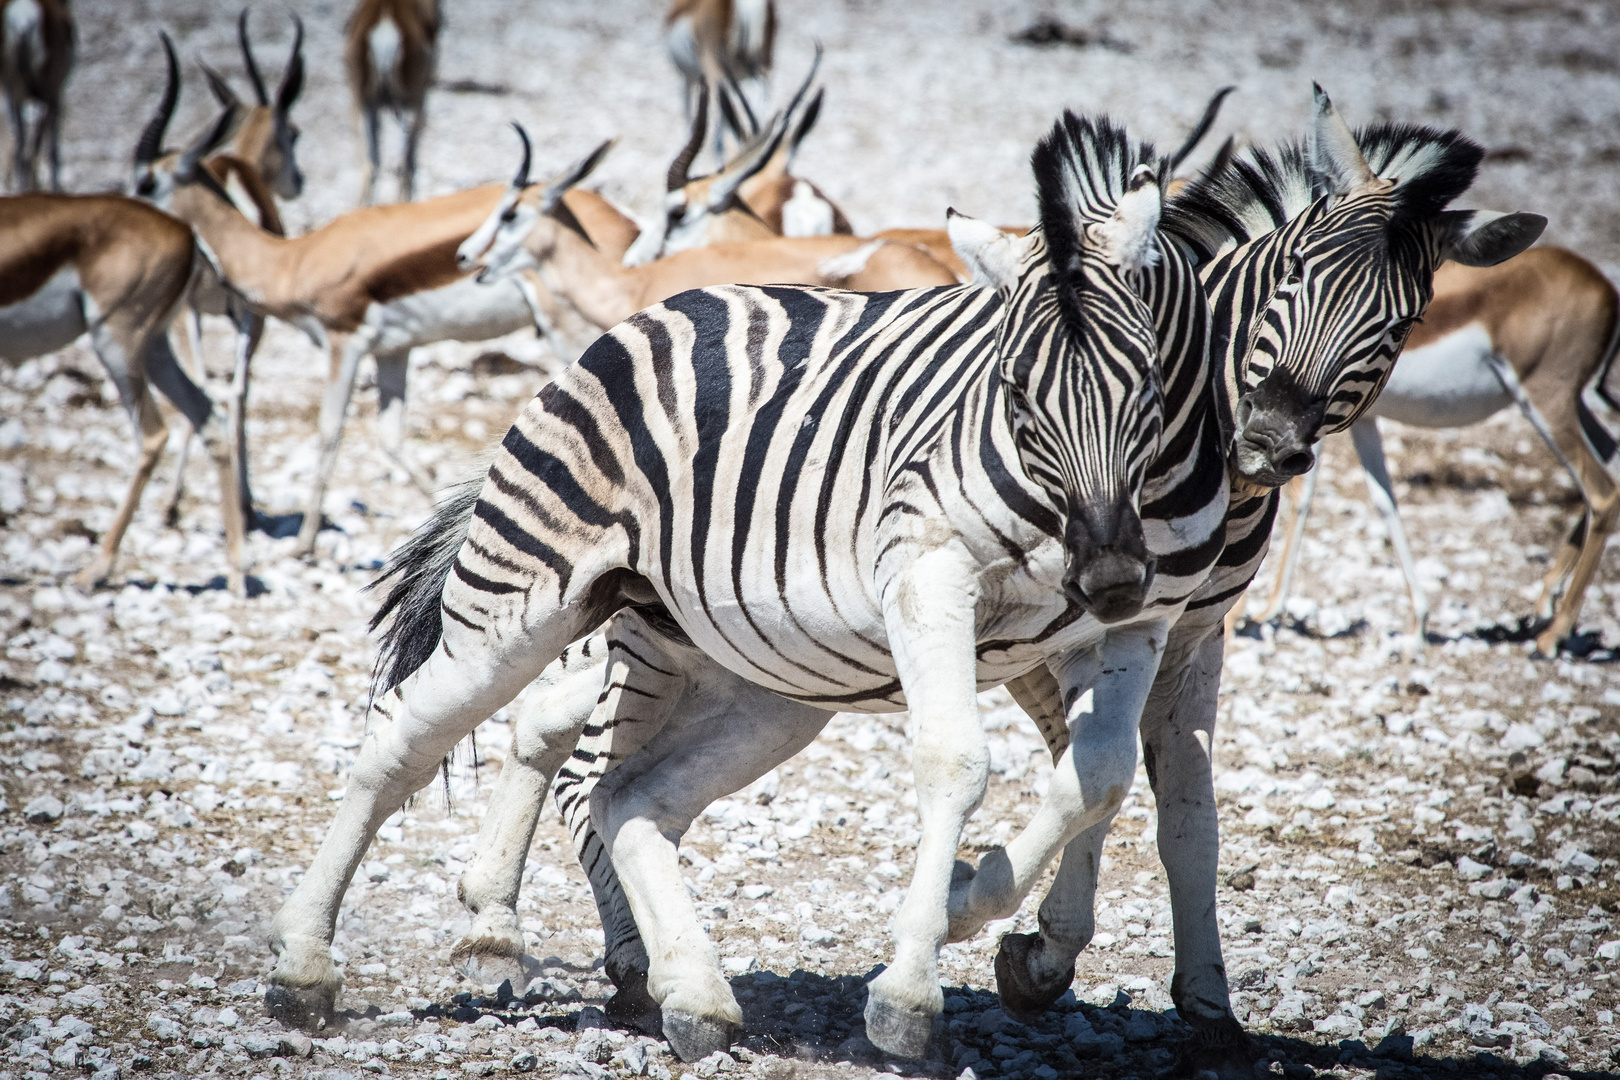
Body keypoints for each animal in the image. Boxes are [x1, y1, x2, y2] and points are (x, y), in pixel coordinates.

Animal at [265, 110, 1198, 1049]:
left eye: (1150, 381)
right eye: (1014, 391)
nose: (1110, 575)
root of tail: (660, 309)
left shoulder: (1142, 624)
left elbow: (1103, 771)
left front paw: (983, 914)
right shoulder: (929, 576)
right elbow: (961, 761)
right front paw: (914, 985)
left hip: (760, 673)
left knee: (623, 791)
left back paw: (683, 991)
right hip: (513, 606)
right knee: (402, 740)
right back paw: (304, 968)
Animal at [440, 86, 1542, 1075]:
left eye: (1403, 320)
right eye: (1290, 275)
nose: (1269, 443)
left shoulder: (1185, 630)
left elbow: (1160, 802)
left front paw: (1191, 998)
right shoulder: (1036, 630)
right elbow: (1078, 777)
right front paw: (1004, 931)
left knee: (560, 732)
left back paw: (529, 927)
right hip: (674, 621)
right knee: (572, 747)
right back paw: (589, 948)